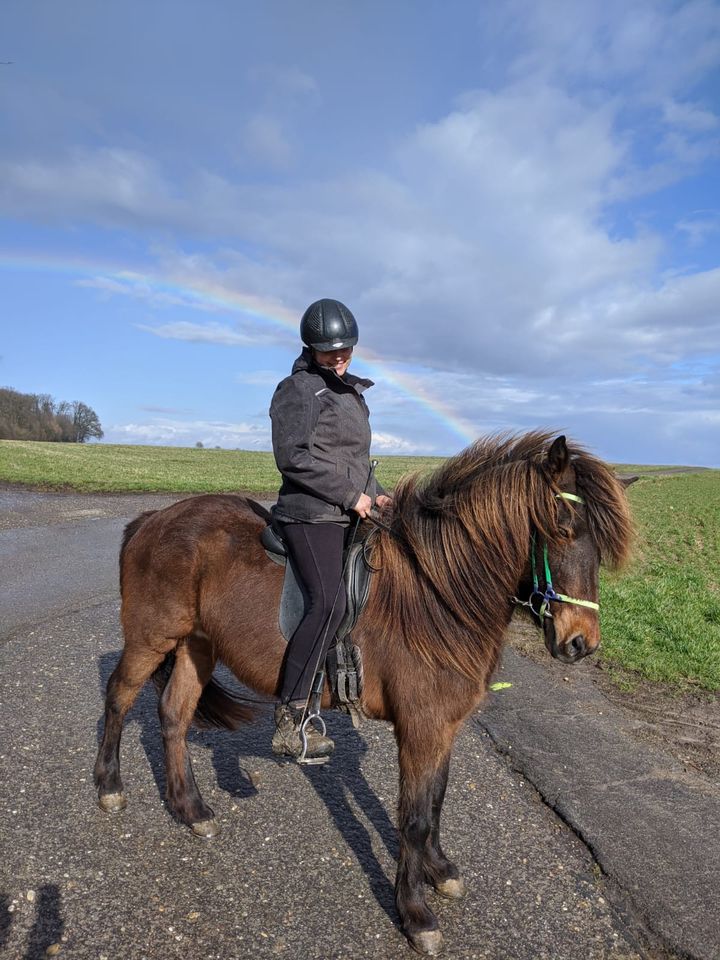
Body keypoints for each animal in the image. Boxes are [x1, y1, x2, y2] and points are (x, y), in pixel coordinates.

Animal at [93, 434, 632, 952]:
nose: (581, 643)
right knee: (118, 699)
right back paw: (110, 787)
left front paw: (439, 870)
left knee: (173, 716)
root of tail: (153, 519)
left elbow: (435, 802)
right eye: (563, 529)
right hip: (151, 638)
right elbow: (413, 818)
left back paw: (191, 810)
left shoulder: (443, 726)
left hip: (197, 645)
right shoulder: (420, 727)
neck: (437, 596)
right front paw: (415, 914)